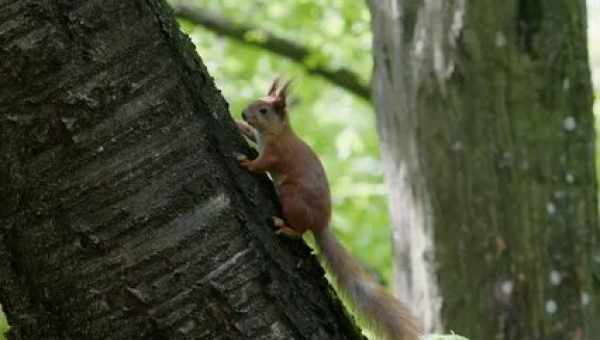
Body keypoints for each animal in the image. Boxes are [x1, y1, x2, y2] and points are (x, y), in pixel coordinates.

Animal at [234, 77, 422, 340]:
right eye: (255, 102)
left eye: (264, 110)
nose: (243, 112)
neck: (276, 132)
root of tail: (321, 224)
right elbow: (251, 134)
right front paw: (240, 125)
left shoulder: (276, 153)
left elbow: (262, 164)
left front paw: (246, 162)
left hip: (292, 198)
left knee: (301, 229)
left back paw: (287, 228)